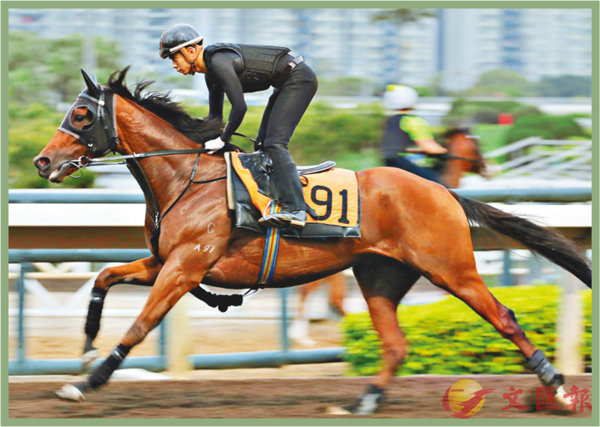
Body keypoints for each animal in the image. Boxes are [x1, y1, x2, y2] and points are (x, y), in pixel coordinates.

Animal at [34, 67, 592, 414]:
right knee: (395, 344)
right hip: (381, 276)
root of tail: (443, 191)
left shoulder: (185, 266)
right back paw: (364, 400)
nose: (42, 161)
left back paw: (559, 392)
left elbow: (140, 324)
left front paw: (85, 383)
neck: (184, 178)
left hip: (452, 269)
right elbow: (105, 277)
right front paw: (86, 345)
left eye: (81, 115)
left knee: (504, 318)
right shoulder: (166, 261)